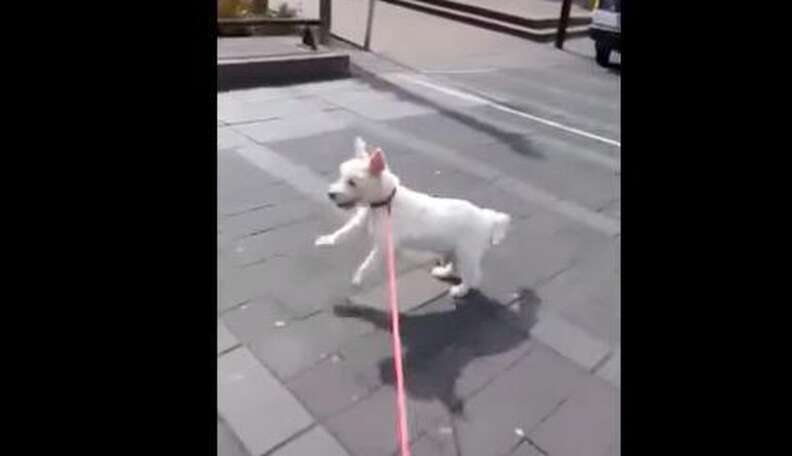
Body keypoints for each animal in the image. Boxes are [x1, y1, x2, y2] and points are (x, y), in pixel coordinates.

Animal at [312, 137, 510, 298]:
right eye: (341, 176)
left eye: (352, 182)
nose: (331, 194)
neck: (385, 201)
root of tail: (488, 218)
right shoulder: (361, 222)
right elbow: (343, 233)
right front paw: (326, 240)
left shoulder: (384, 244)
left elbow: (368, 263)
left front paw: (358, 278)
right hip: (453, 249)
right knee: (455, 265)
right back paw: (444, 272)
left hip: (467, 252)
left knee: (472, 275)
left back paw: (461, 290)